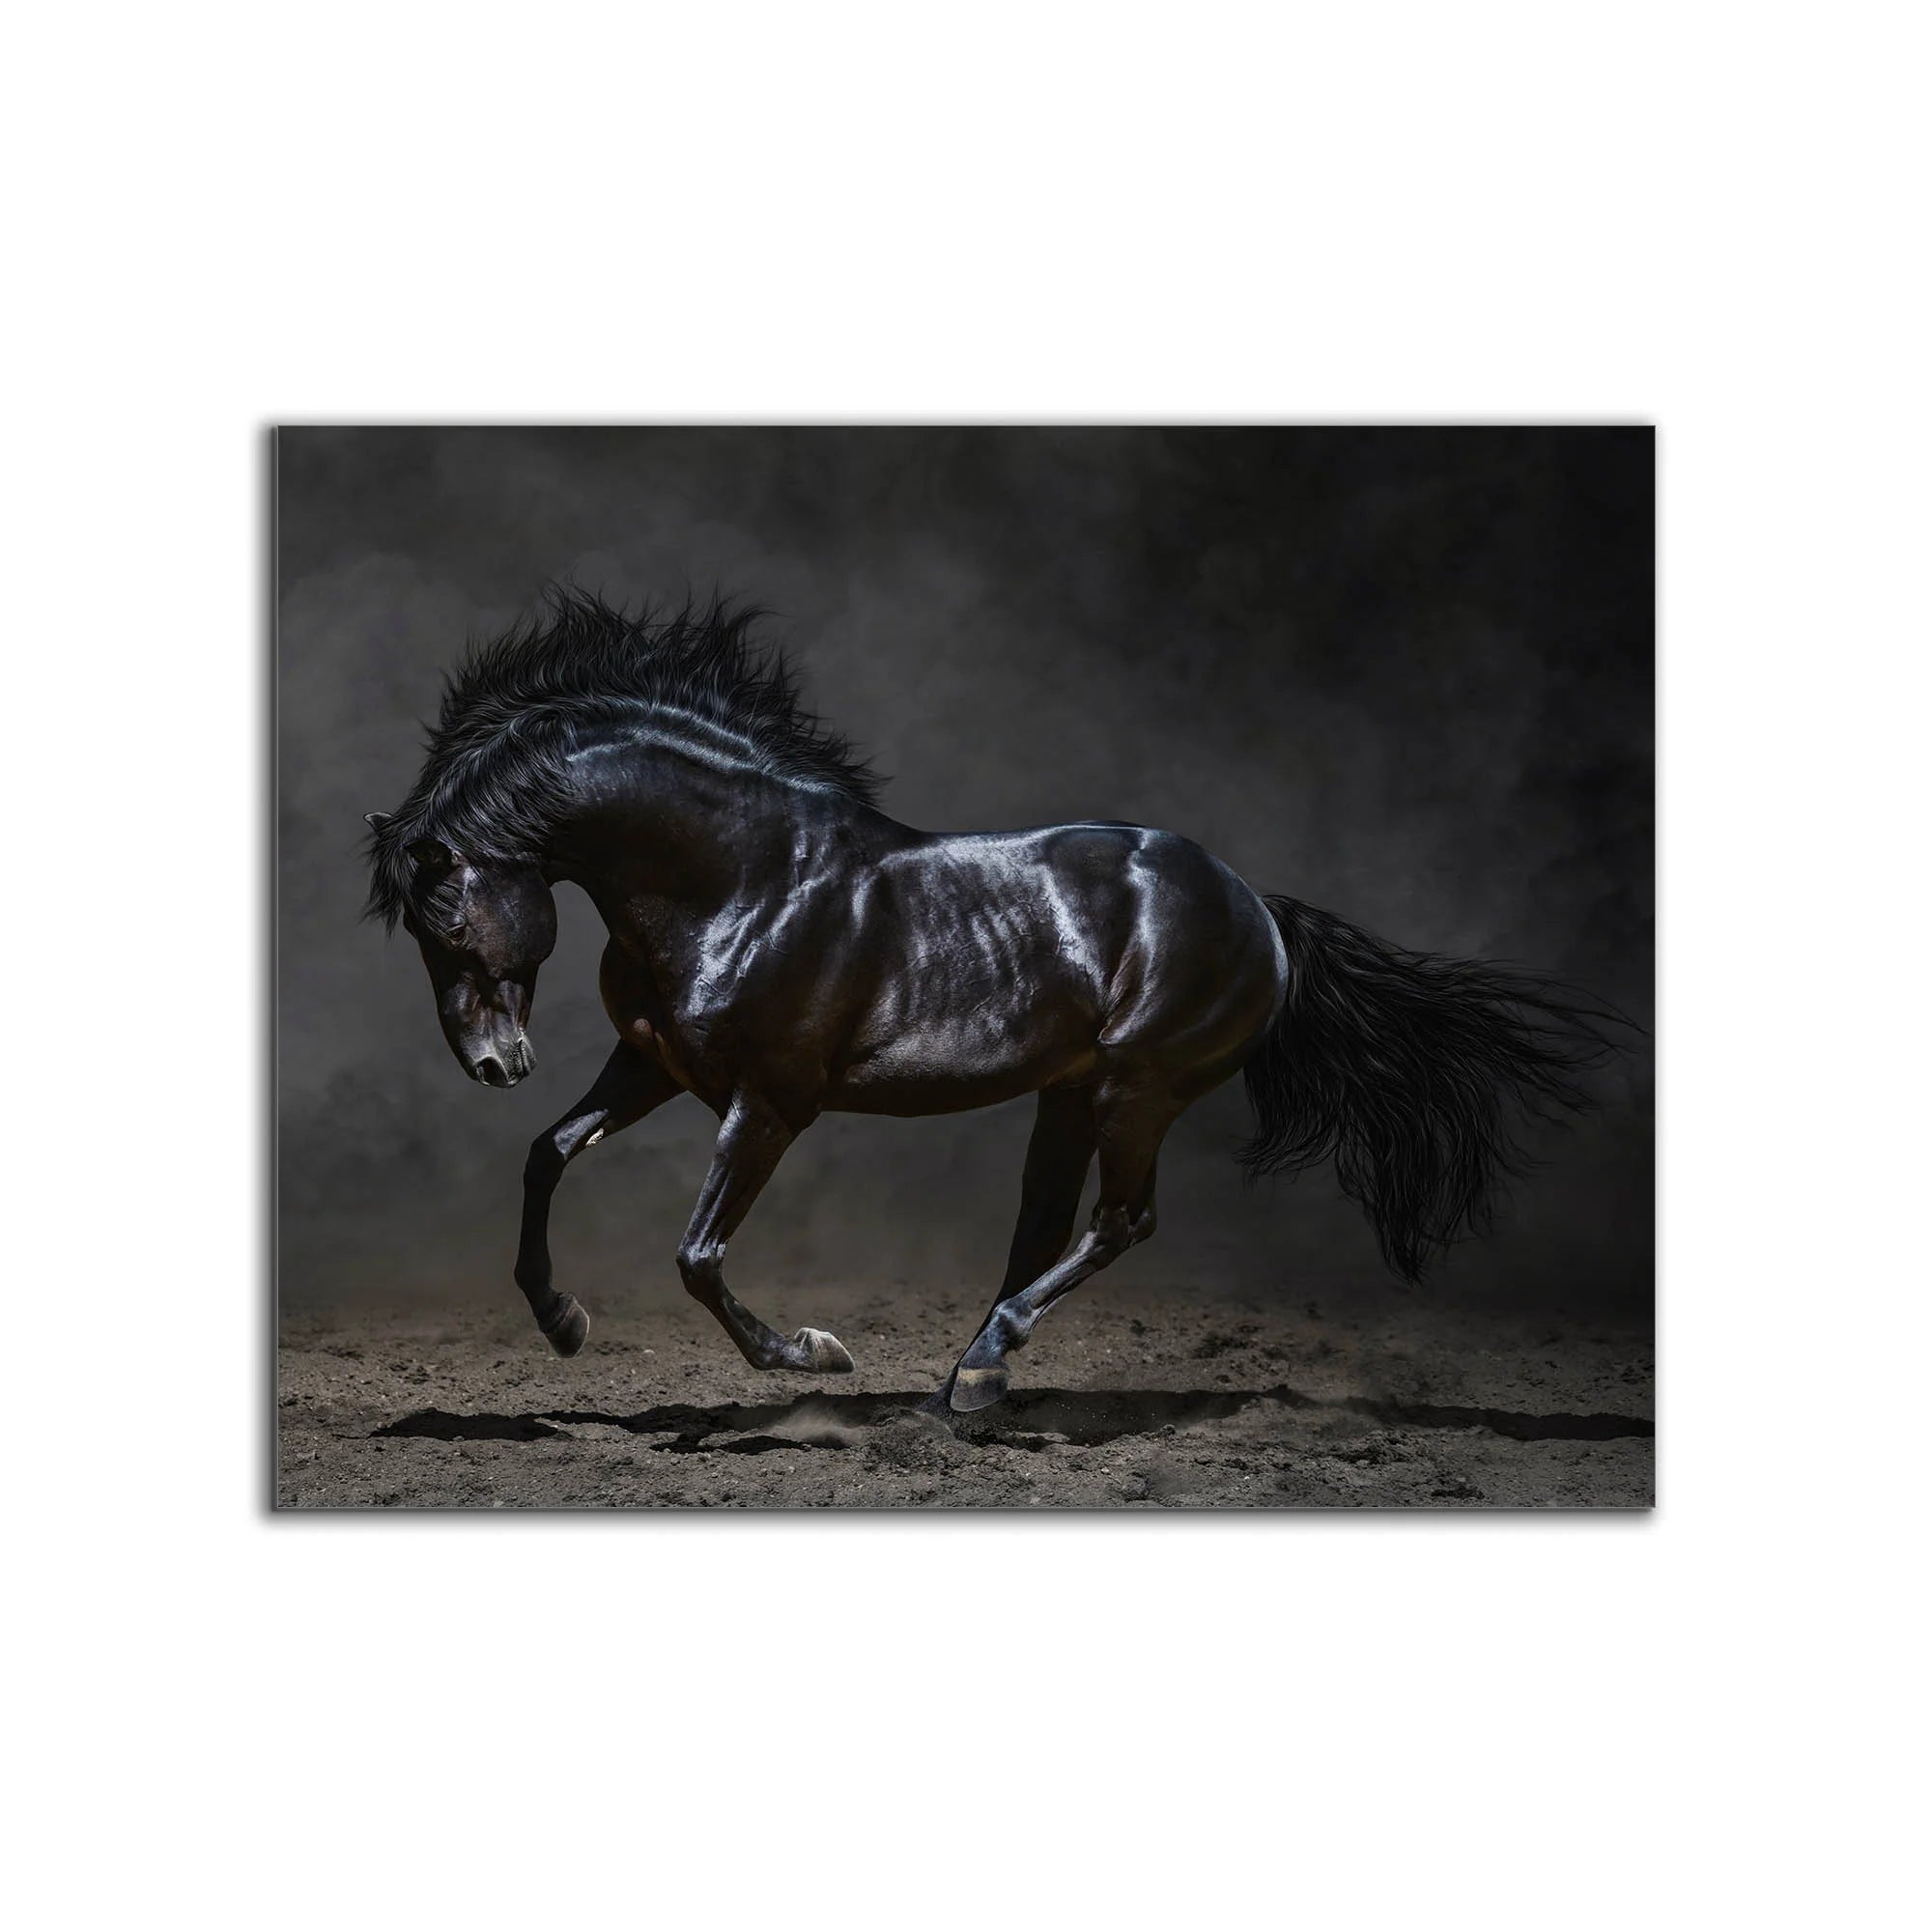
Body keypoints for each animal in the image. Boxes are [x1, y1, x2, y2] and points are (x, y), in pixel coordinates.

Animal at [364, 589, 1618, 1411]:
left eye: (444, 919)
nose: (491, 1063)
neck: (743, 877)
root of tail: (1256, 906)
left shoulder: (768, 1102)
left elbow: (698, 1254)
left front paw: (813, 1353)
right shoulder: (655, 1066)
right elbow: (547, 1153)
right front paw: (562, 1320)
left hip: (1136, 1087)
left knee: (1120, 1221)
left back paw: (977, 1368)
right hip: (1069, 1093)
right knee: (1043, 1228)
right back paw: (966, 1380)